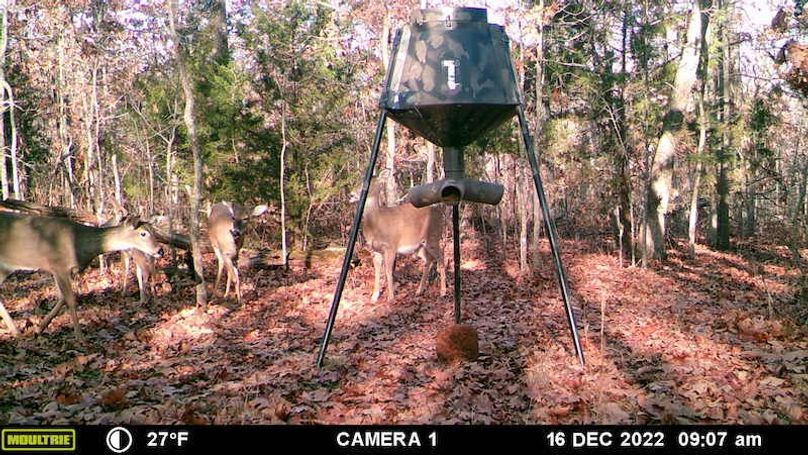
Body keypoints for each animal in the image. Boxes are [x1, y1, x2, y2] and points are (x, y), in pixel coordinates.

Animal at [0, 212, 162, 342]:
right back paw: (16, 331)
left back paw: (16, 331)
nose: (160, 250)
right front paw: (80, 337)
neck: (80, 244)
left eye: (154, 231)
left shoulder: (66, 270)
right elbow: (71, 300)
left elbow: (63, 298)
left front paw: (39, 328)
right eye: (143, 233)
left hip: (5, 267)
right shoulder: (58, 265)